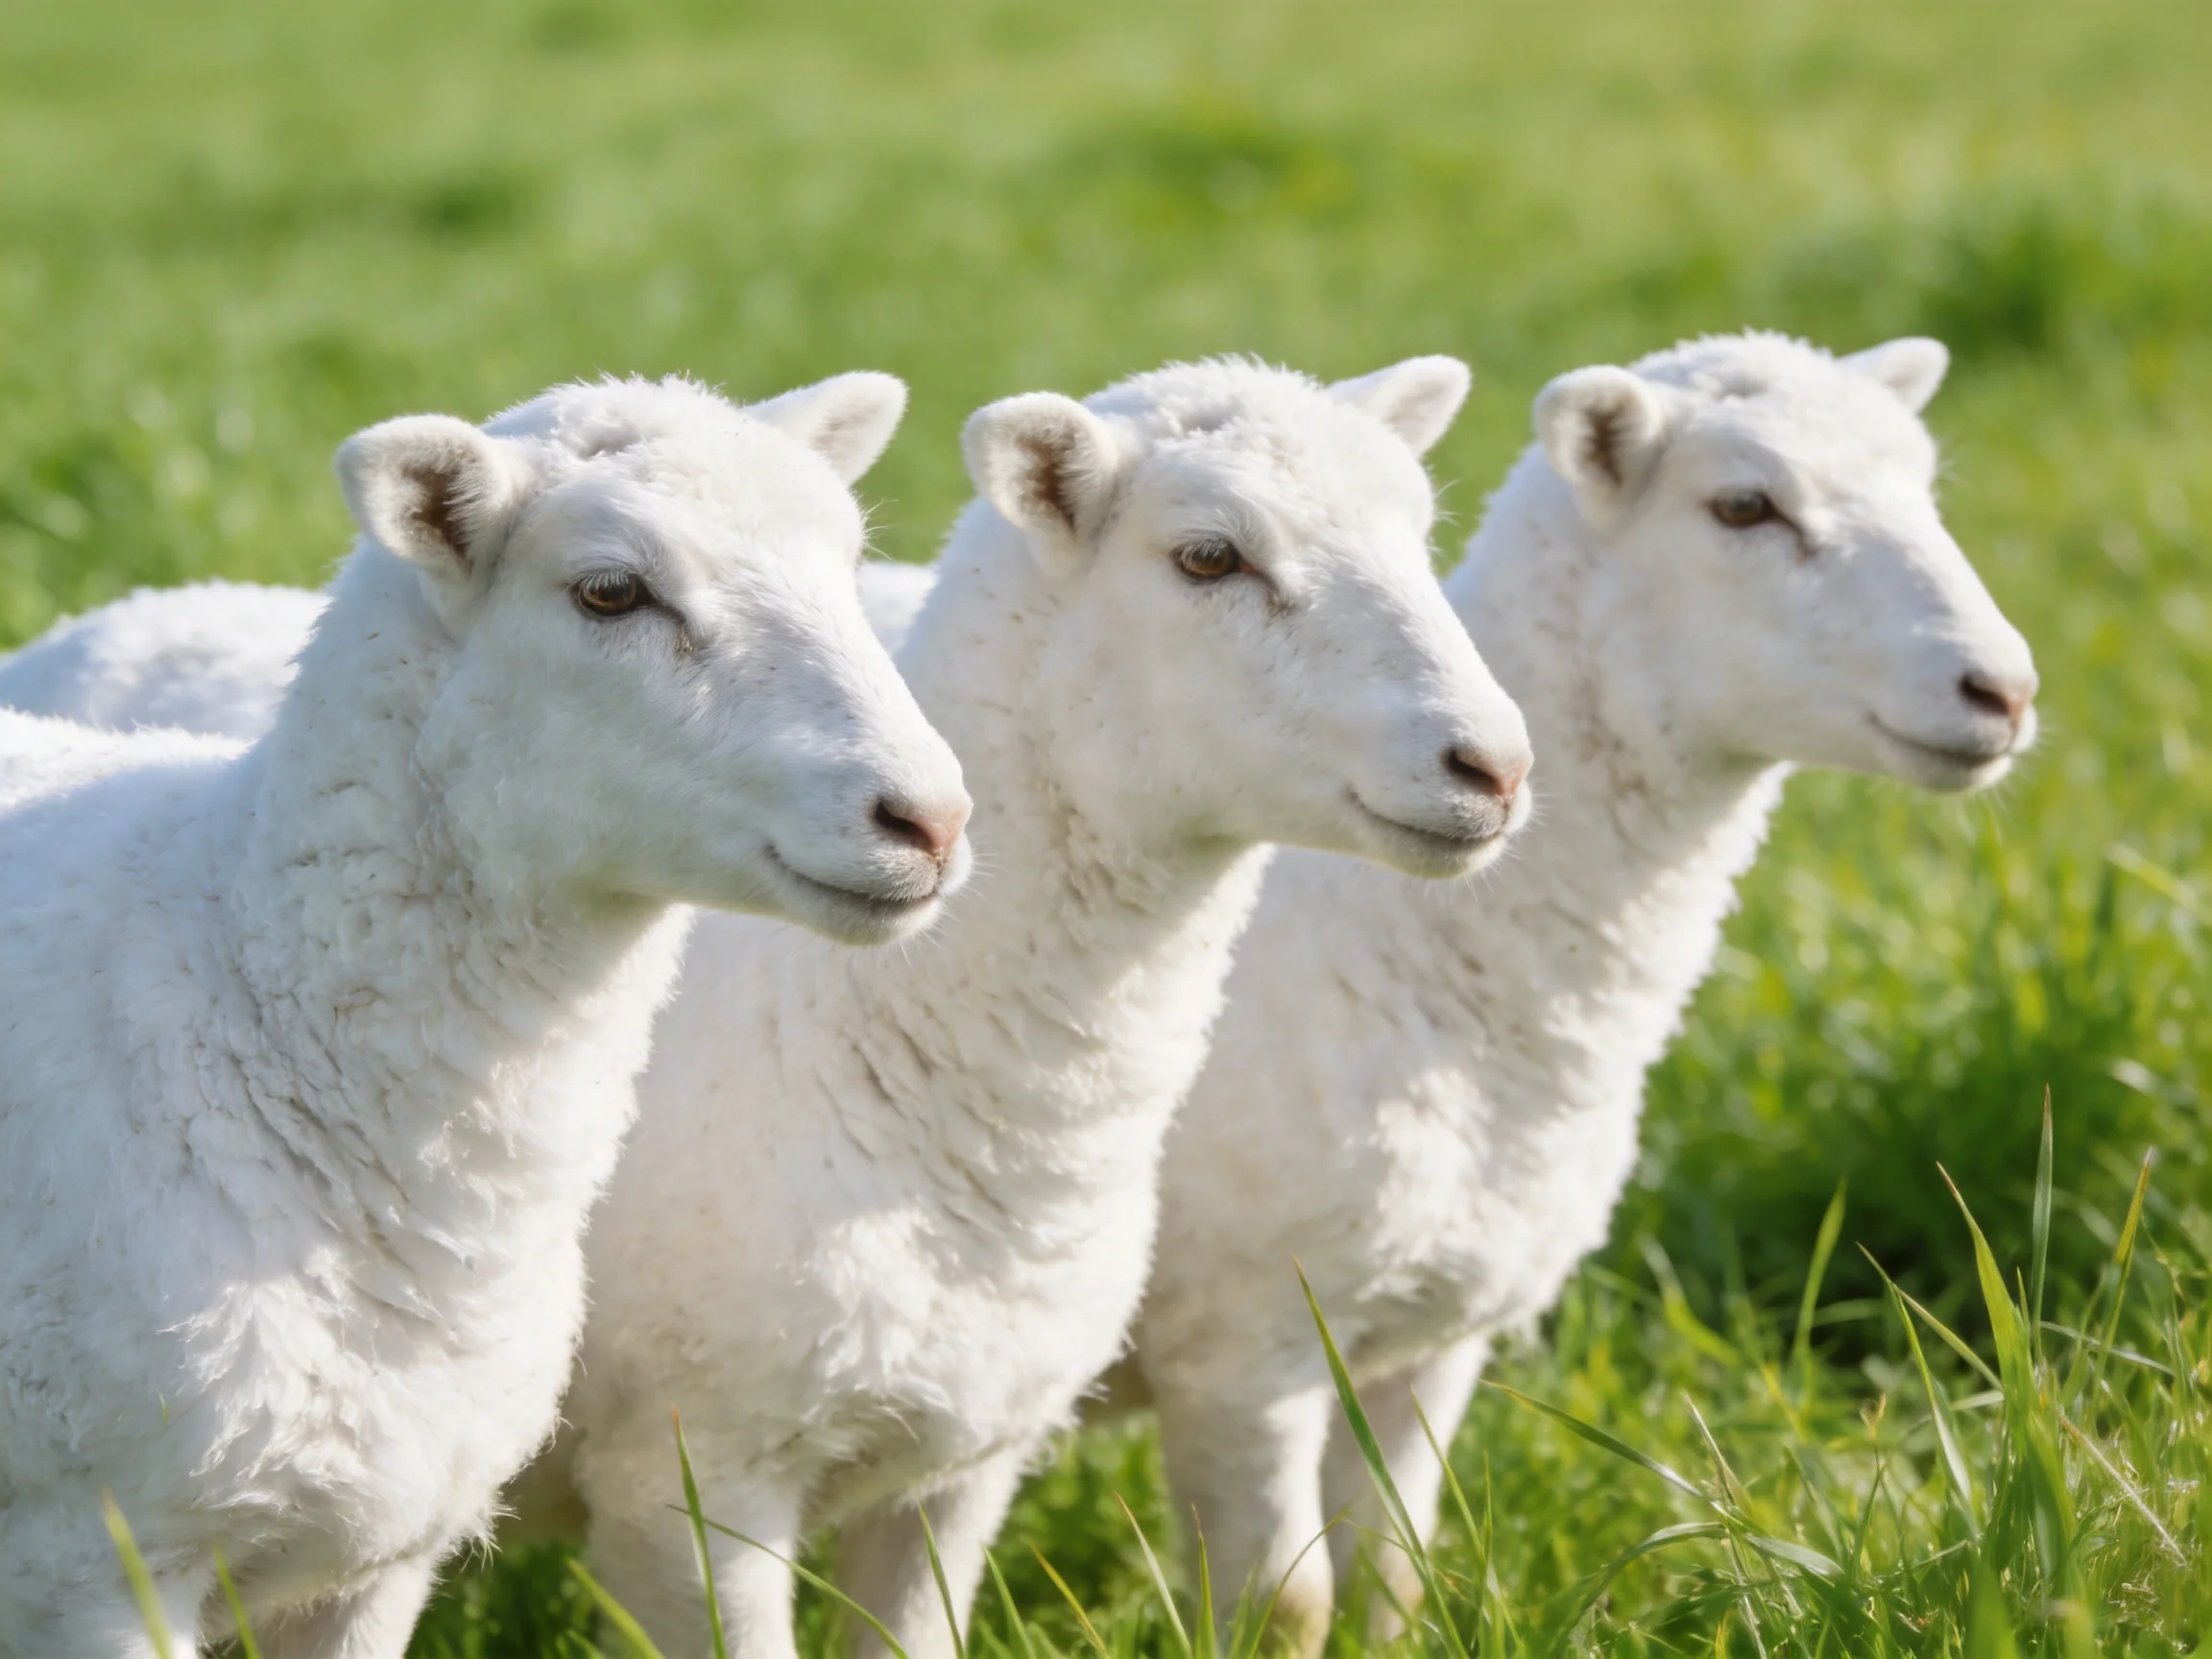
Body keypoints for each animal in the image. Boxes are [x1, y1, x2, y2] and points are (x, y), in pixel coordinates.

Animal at [1127, 333, 2041, 1655]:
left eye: (1924, 485)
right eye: (1744, 506)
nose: (2001, 692)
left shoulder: (1433, 1330)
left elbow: (1392, 1572)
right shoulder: (1239, 1345)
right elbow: (1285, 1605)